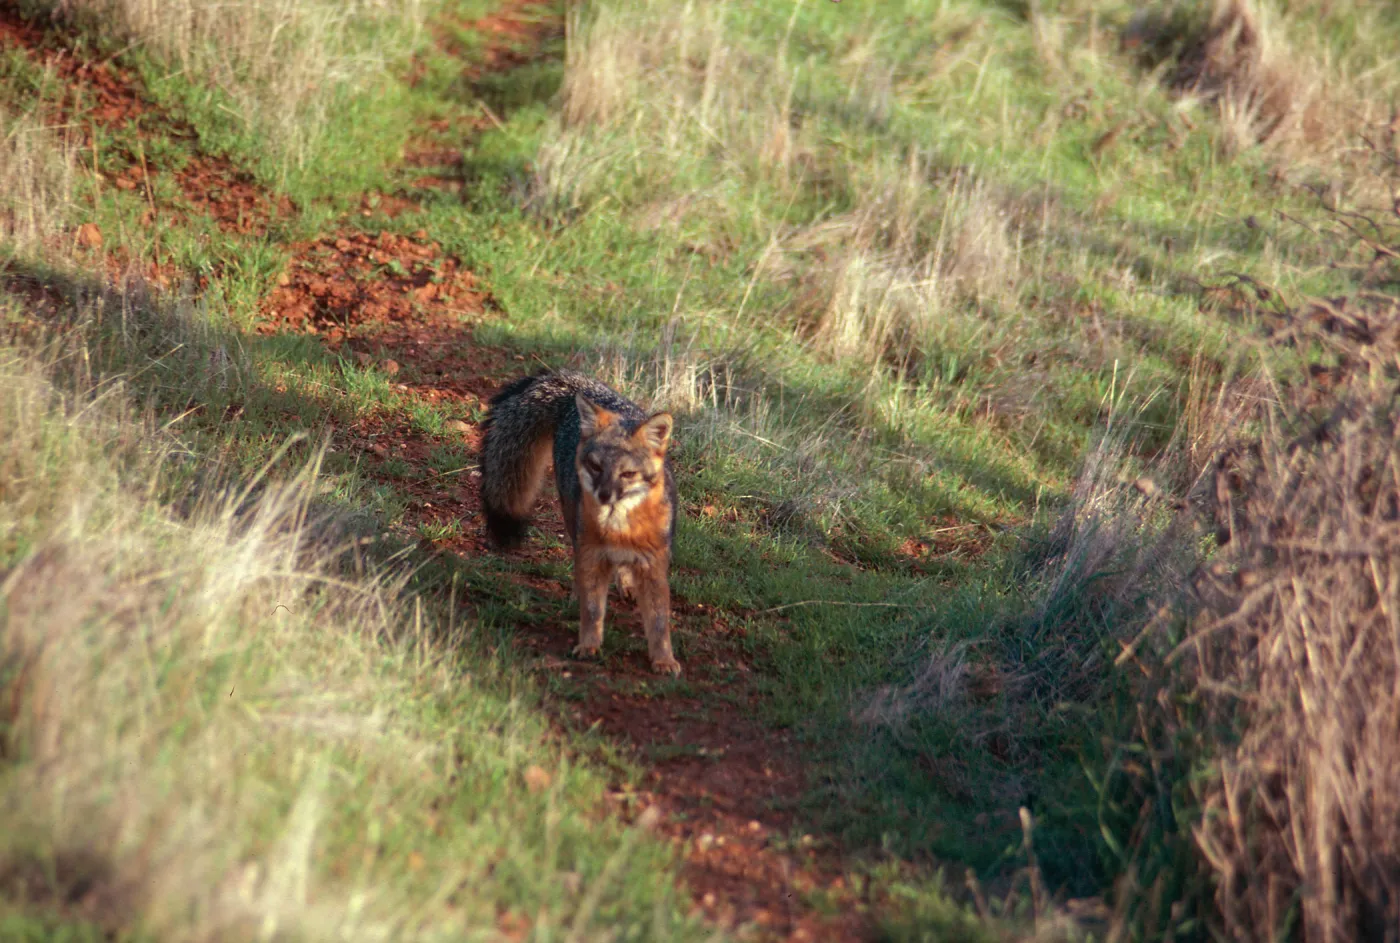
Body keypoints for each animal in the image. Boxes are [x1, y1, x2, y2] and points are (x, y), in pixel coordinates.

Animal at [479, 370, 682, 675]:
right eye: (596, 467)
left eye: (628, 474)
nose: (604, 495)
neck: (618, 530)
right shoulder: (592, 555)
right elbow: (593, 609)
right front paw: (588, 645)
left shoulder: (653, 567)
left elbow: (659, 623)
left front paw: (664, 660)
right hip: (571, 520)